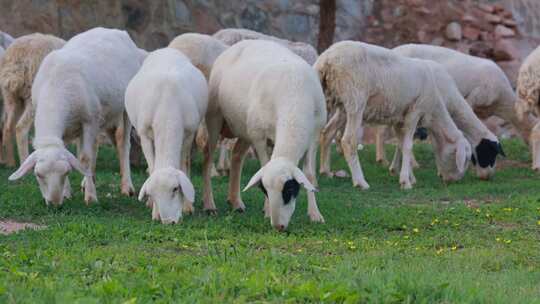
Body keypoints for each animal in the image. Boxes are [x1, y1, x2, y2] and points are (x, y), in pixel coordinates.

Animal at [0, 34, 66, 167]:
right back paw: (25, 162)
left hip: (10, 97)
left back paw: (9, 162)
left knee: (7, 126)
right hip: (31, 96)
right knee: (20, 128)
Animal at [9, 27, 144, 205]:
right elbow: (78, 156)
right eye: (38, 174)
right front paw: (67, 193)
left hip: (124, 108)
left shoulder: (89, 121)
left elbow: (85, 158)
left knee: (122, 142)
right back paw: (88, 181)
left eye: (66, 172)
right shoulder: (73, 127)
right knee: (94, 146)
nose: (54, 204)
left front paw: (91, 197)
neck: (55, 91)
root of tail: (114, 30)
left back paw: (126, 187)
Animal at [124, 47, 205, 223]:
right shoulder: (144, 135)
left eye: (175, 189)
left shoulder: (188, 134)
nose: (169, 222)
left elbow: (183, 164)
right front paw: (154, 210)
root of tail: (166, 49)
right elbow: (153, 167)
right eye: (153, 193)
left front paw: (187, 207)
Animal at [205, 40, 324, 230]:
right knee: (207, 159)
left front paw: (315, 214)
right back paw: (209, 205)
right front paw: (267, 210)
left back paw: (236, 202)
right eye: (264, 190)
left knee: (236, 155)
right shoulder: (260, 137)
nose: (278, 227)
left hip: (245, 128)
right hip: (215, 118)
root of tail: (236, 45)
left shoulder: (314, 135)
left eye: (290, 189)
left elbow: (310, 175)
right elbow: (264, 163)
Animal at [314, 40, 470, 188]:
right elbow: (407, 146)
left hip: (333, 101)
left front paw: (409, 177)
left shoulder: (399, 119)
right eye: (466, 159)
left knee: (326, 132)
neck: (434, 110)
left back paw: (325, 171)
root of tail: (327, 58)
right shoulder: (414, 112)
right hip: (355, 99)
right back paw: (360, 181)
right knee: (348, 140)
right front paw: (405, 182)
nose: (454, 181)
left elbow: (401, 145)